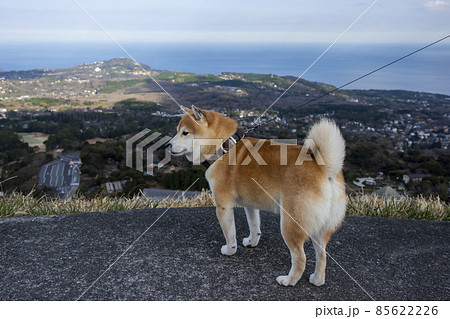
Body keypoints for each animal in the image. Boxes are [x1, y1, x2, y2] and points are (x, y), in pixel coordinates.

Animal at [167, 107, 346, 288]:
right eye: (177, 131)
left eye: (185, 132)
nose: (168, 145)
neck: (225, 147)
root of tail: (325, 168)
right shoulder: (250, 204)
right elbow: (254, 226)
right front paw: (252, 242)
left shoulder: (223, 206)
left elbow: (230, 235)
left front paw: (230, 251)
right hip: (320, 228)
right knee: (322, 255)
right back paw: (317, 279)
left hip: (290, 222)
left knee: (300, 258)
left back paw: (289, 280)